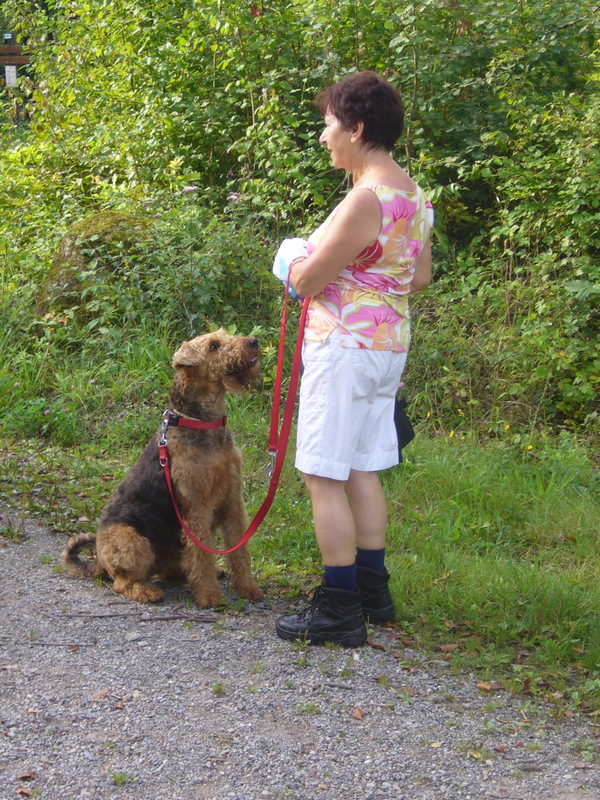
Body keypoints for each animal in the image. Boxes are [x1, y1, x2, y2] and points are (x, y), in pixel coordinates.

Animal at [61, 329, 264, 607]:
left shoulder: (233, 501)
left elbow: (239, 549)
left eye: (224, 335)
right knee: (123, 582)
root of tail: (99, 560)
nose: (253, 342)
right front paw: (210, 596)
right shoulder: (197, 508)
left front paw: (248, 589)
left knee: (173, 567)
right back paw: (148, 592)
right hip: (133, 541)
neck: (202, 422)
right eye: (213, 346)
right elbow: (201, 553)